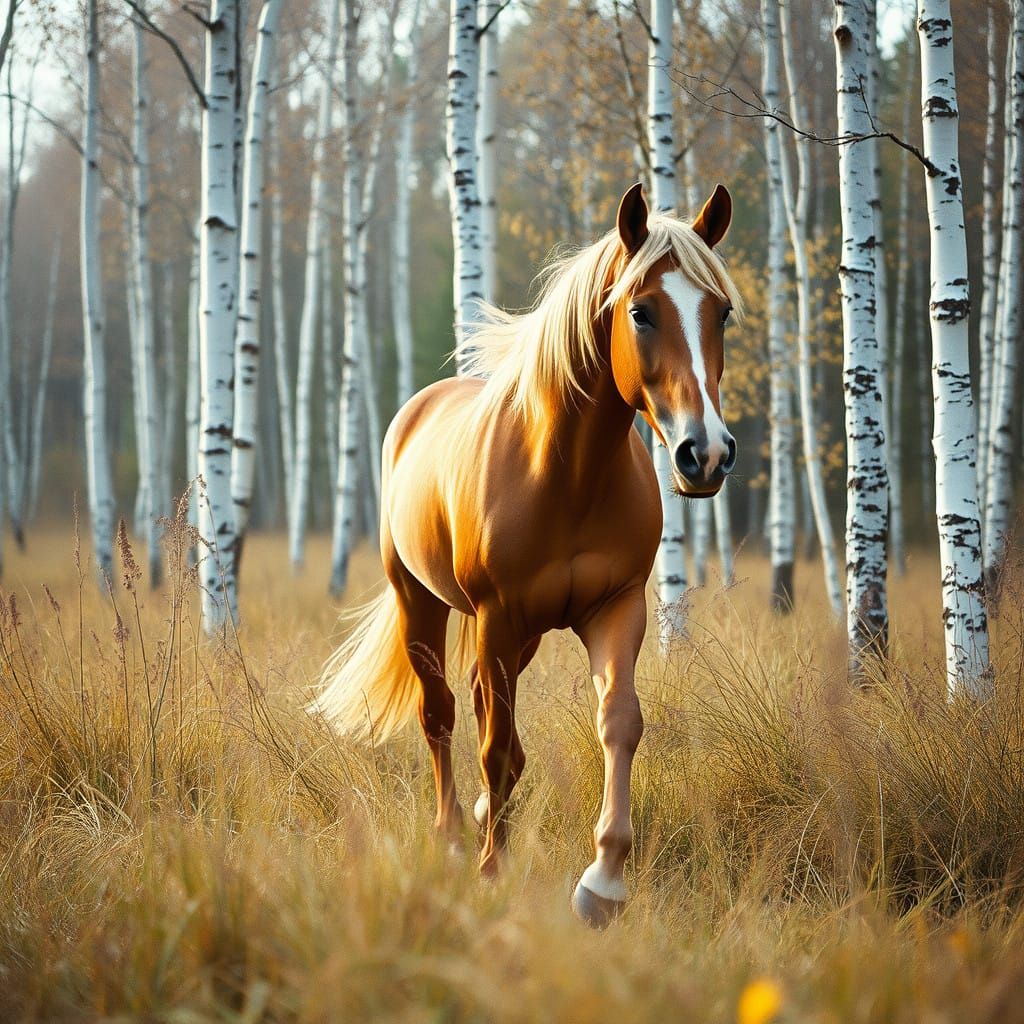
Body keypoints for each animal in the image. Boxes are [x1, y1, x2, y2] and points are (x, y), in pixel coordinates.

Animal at [313, 182, 743, 927]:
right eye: (641, 311)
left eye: (722, 311)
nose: (706, 453)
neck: (567, 475)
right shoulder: (498, 615)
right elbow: (490, 744)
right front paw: (491, 871)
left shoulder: (615, 610)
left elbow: (619, 722)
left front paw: (603, 882)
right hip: (423, 603)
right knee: (442, 715)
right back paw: (456, 838)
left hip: (522, 634)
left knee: (488, 713)